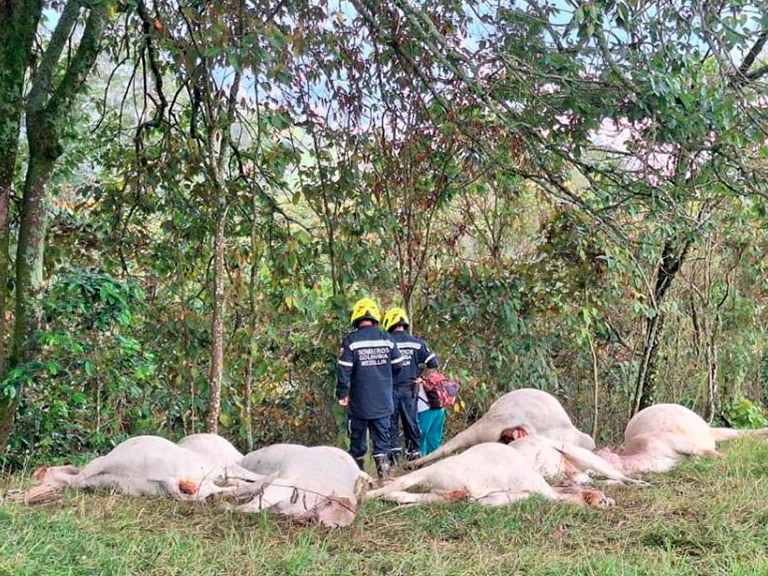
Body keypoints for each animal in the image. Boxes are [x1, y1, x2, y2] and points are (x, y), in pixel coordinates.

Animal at [238, 446, 374, 528]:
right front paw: (234, 508)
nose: (328, 525)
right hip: (276, 475)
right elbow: (253, 505)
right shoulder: (284, 484)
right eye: (330, 503)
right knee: (250, 487)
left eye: (338, 525)